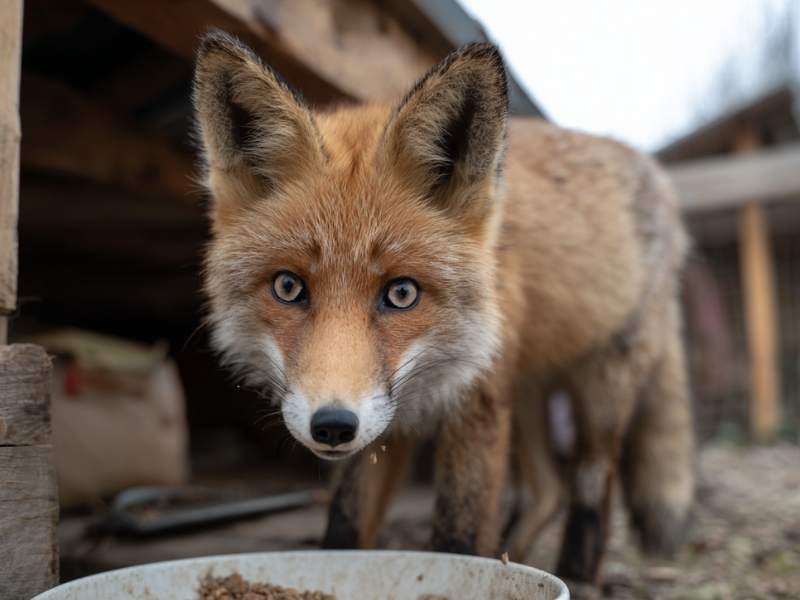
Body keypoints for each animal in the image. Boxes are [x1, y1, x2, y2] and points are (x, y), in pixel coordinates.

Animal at [193, 31, 694, 583]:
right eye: (288, 287)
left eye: (402, 293)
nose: (333, 426)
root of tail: (655, 172)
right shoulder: (389, 421)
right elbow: (345, 528)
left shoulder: (476, 401)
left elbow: (458, 535)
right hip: (524, 386)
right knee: (546, 490)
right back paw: (514, 552)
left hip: (599, 387)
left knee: (591, 485)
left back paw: (578, 575)